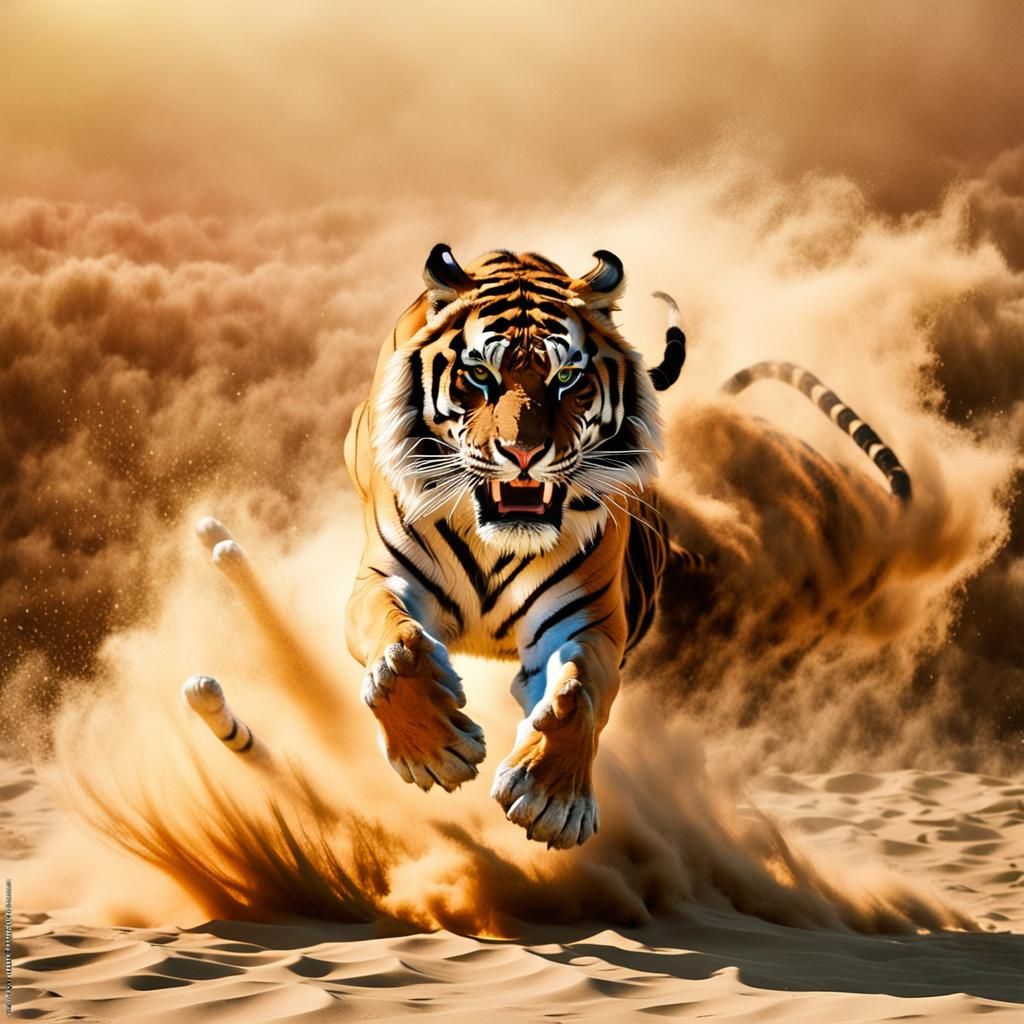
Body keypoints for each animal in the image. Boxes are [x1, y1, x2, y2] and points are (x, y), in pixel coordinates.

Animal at [338, 244, 912, 849]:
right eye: (479, 374)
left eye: (568, 377)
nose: (523, 453)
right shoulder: (384, 579)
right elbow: (398, 650)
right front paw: (435, 747)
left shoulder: (587, 617)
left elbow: (579, 695)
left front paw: (552, 802)